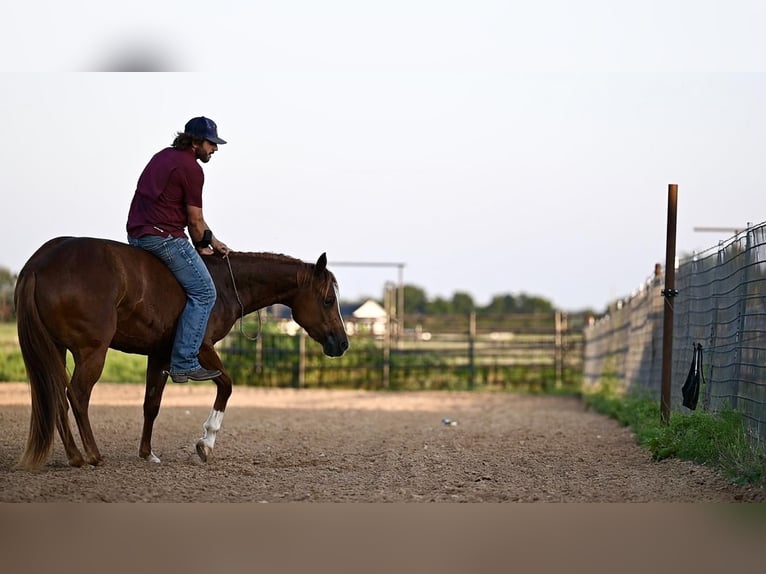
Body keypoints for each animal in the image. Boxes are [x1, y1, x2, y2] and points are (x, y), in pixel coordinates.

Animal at [13, 236, 350, 470]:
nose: (343, 343)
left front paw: (147, 454)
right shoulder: (201, 349)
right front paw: (205, 443)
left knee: (57, 396)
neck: (225, 283)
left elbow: (151, 404)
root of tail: (39, 263)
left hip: (57, 349)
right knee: (78, 395)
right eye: (328, 300)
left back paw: (74, 455)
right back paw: (92, 455)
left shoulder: (160, 355)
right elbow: (226, 385)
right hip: (91, 351)